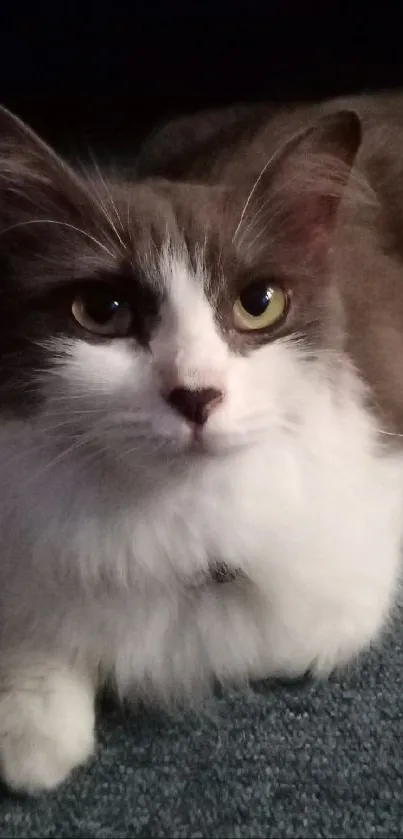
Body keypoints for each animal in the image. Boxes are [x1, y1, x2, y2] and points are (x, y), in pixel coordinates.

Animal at [0, 92, 403, 796]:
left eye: (259, 303)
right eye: (103, 311)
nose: (196, 395)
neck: (167, 502)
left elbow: (275, 638)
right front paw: (34, 730)